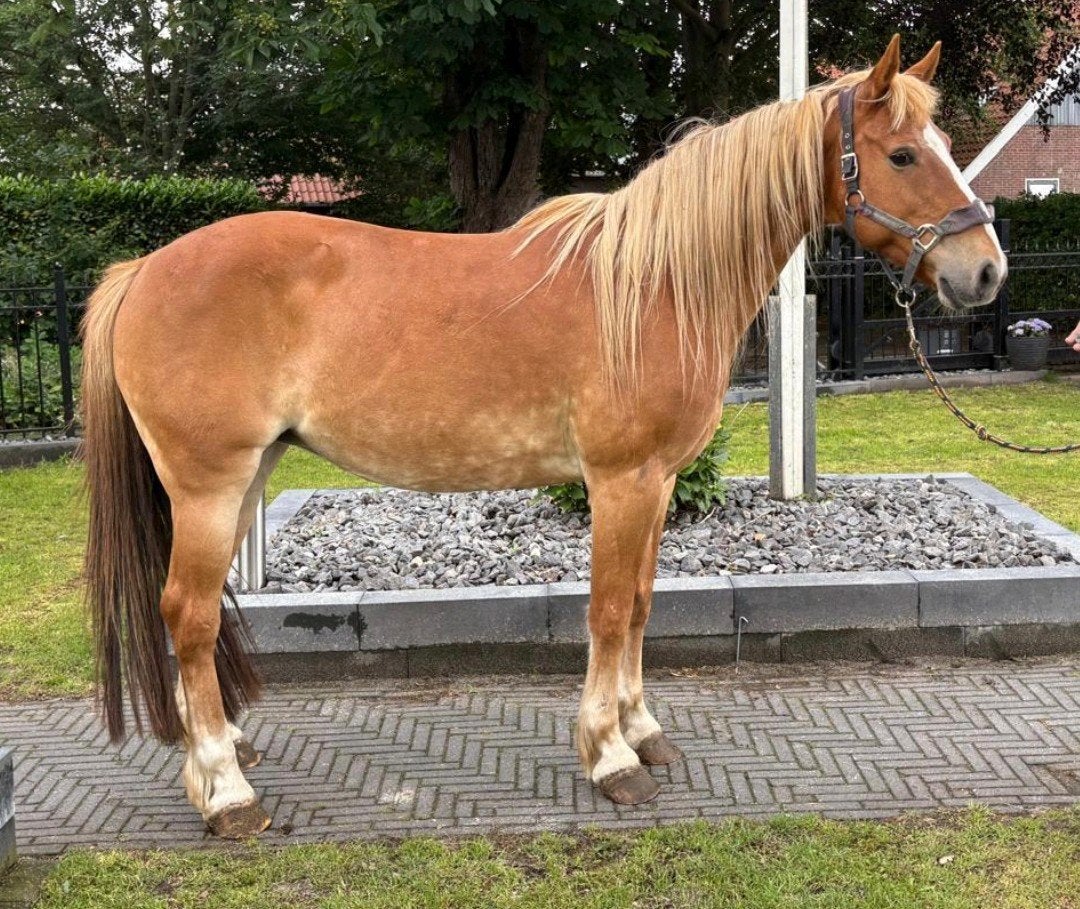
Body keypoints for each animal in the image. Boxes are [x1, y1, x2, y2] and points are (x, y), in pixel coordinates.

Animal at [80, 35, 1006, 838]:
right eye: (902, 155)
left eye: (945, 143)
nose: (987, 270)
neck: (656, 281)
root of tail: (145, 269)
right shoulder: (621, 480)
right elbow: (607, 610)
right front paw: (609, 756)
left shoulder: (657, 483)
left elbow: (640, 604)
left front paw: (642, 728)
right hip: (209, 483)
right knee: (188, 612)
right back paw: (225, 791)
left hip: (246, 478)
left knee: (198, 616)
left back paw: (224, 752)